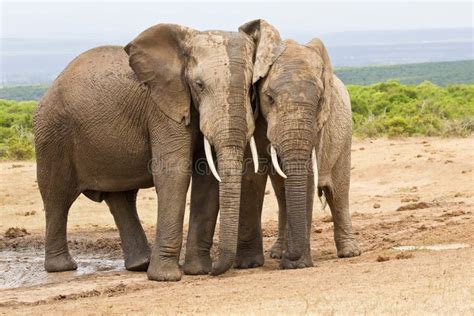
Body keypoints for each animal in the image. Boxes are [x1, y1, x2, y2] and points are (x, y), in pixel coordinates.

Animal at [34, 24, 260, 282]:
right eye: (199, 85)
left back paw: (140, 264)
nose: (215, 270)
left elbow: (207, 179)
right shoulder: (162, 108)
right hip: (52, 134)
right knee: (57, 197)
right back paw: (62, 267)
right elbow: (174, 174)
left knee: (120, 198)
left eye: (251, 87)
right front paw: (166, 277)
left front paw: (197, 271)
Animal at [183, 19, 362, 272]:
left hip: (344, 131)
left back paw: (349, 252)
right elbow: (251, 174)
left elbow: (307, 177)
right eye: (268, 98)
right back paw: (277, 253)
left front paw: (297, 264)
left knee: (338, 191)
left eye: (319, 100)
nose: (290, 257)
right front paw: (252, 263)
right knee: (282, 194)